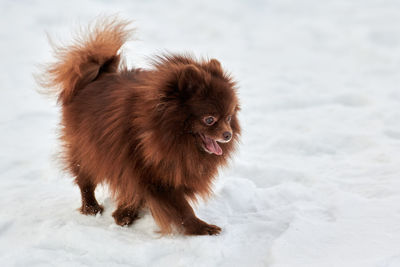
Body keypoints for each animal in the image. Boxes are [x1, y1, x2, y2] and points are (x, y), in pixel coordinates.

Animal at [39, 16, 241, 236]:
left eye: (229, 117)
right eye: (209, 119)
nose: (228, 134)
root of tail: (98, 75)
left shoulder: (160, 170)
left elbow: (139, 194)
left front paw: (124, 214)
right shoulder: (151, 174)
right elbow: (181, 208)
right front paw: (201, 227)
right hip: (86, 149)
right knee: (85, 179)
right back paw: (91, 207)